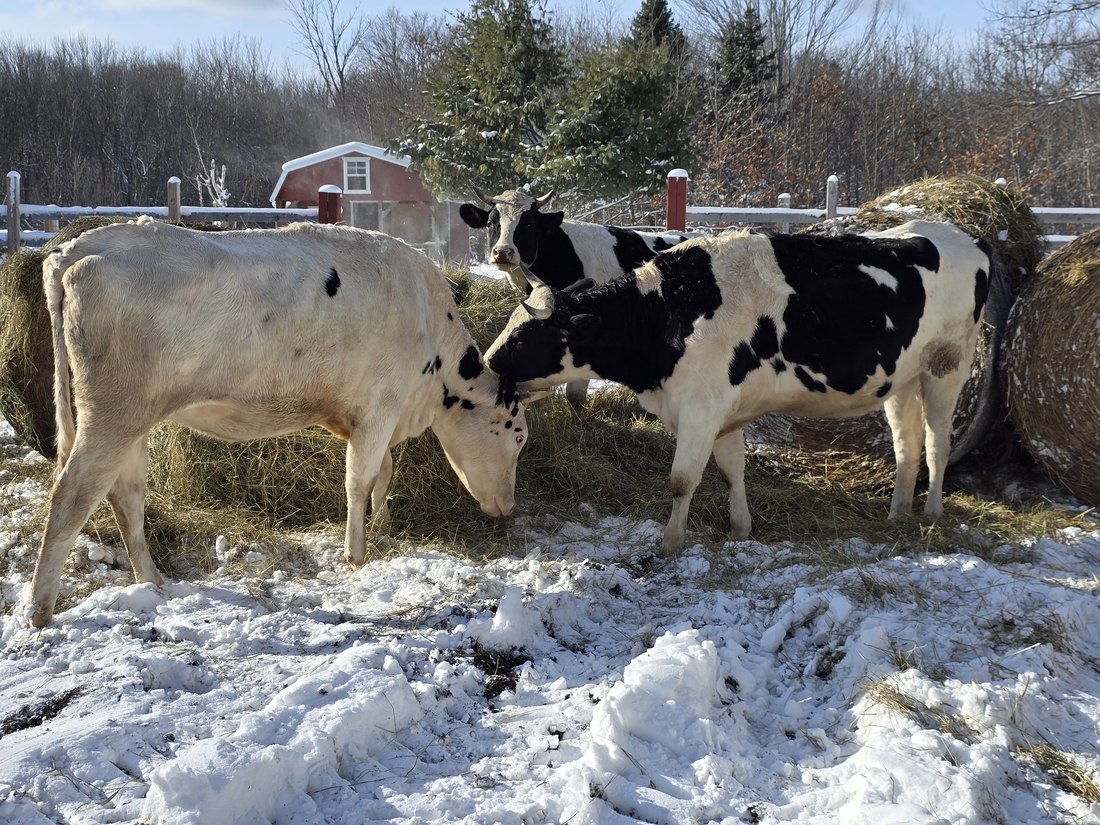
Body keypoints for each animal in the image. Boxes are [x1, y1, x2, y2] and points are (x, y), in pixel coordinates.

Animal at [26, 218, 530, 627]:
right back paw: (40, 610)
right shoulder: (380, 407)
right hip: (112, 415)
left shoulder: (372, 415)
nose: (509, 506)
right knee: (72, 497)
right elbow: (359, 479)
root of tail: (77, 247)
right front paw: (356, 555)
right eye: (519, 435)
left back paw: (152, 581)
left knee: (125, 496)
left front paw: (384, 523)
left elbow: (383, 473)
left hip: (132, 420)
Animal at [485, 220, 992, 553]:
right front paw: (739, 529)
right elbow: (732, 471)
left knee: (937, 443)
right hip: (903, 378)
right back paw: (898, 513)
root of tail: (964, 235)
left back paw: (931, 513)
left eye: (526, 337)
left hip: (948, 368)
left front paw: (670, 543)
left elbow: (682, 480)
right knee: (907, 444)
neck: (670, 309)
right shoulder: (722, 412)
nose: (487, 363)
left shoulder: (700, 408)